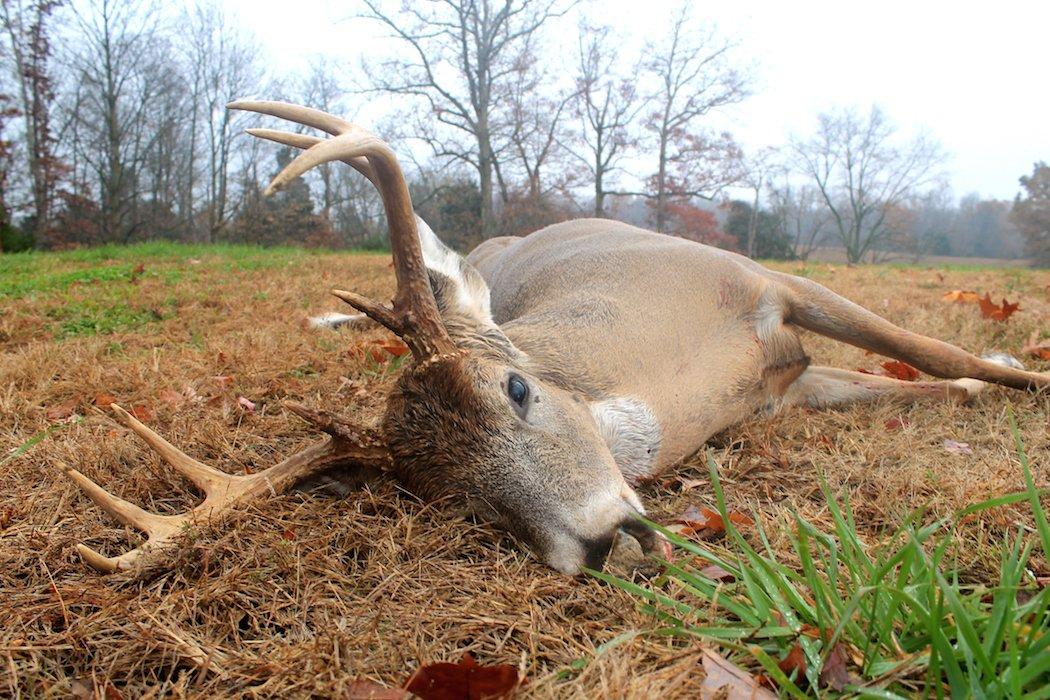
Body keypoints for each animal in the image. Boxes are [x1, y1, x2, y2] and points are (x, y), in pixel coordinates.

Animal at [62, 101, 1049, 577]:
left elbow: (942, 358)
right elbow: (924, 378)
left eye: (518, 389)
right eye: (454, 501)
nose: (603, 543)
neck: (679, 372)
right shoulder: (783, 391)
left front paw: (1017, 372)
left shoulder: (771, 287)